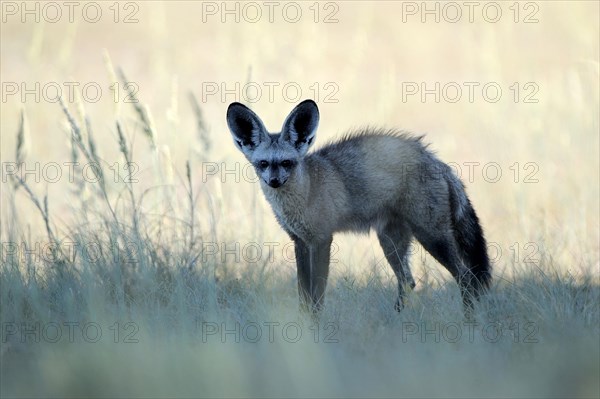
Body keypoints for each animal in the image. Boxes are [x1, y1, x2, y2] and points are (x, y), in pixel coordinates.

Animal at [227, 100, 490, 316]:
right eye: (263, 164)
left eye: (286, 163)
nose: (274, 181)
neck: (304, 195)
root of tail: (436, 160)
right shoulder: (300, 242)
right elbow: (304, 296)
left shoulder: (321, 240)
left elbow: (317, 296)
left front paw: (315, 328)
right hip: (391, 243)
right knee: (408, 281)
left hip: (432, 237)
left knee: (466, 278)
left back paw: (468, 323)